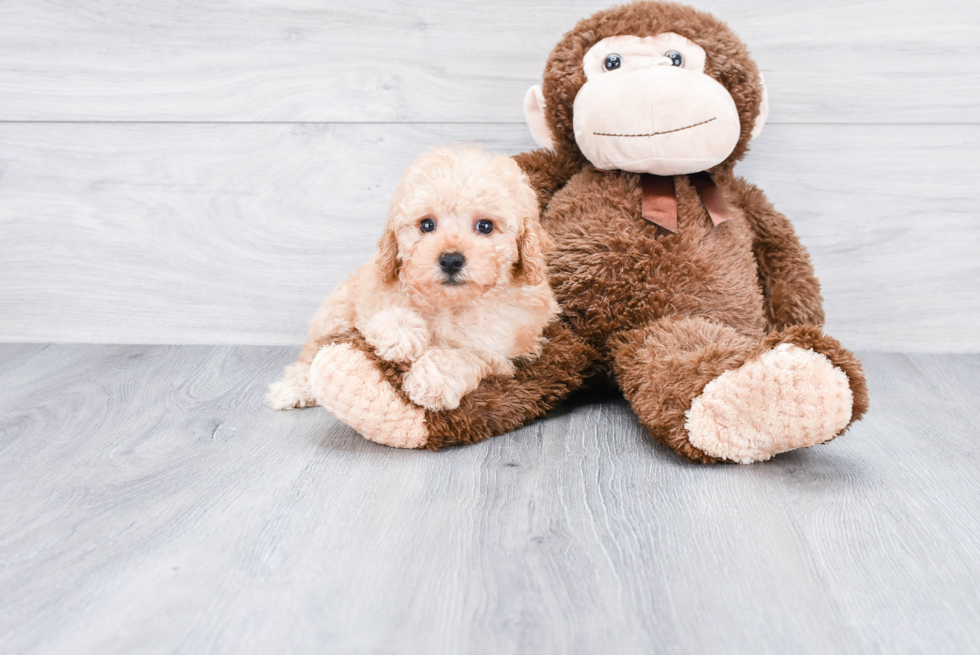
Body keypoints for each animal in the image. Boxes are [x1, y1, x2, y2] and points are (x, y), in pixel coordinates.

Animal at [268, 147, 560, 412]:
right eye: (426, 225)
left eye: (485, 226)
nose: (451, 260)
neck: (449, 304)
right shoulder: (375, 292)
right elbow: (386, 313)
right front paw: (401, 335)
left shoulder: (501, 348)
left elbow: (464, 355)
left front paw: (431, 381)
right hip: (335, 311)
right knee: (311, 353)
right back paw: (292, 388)